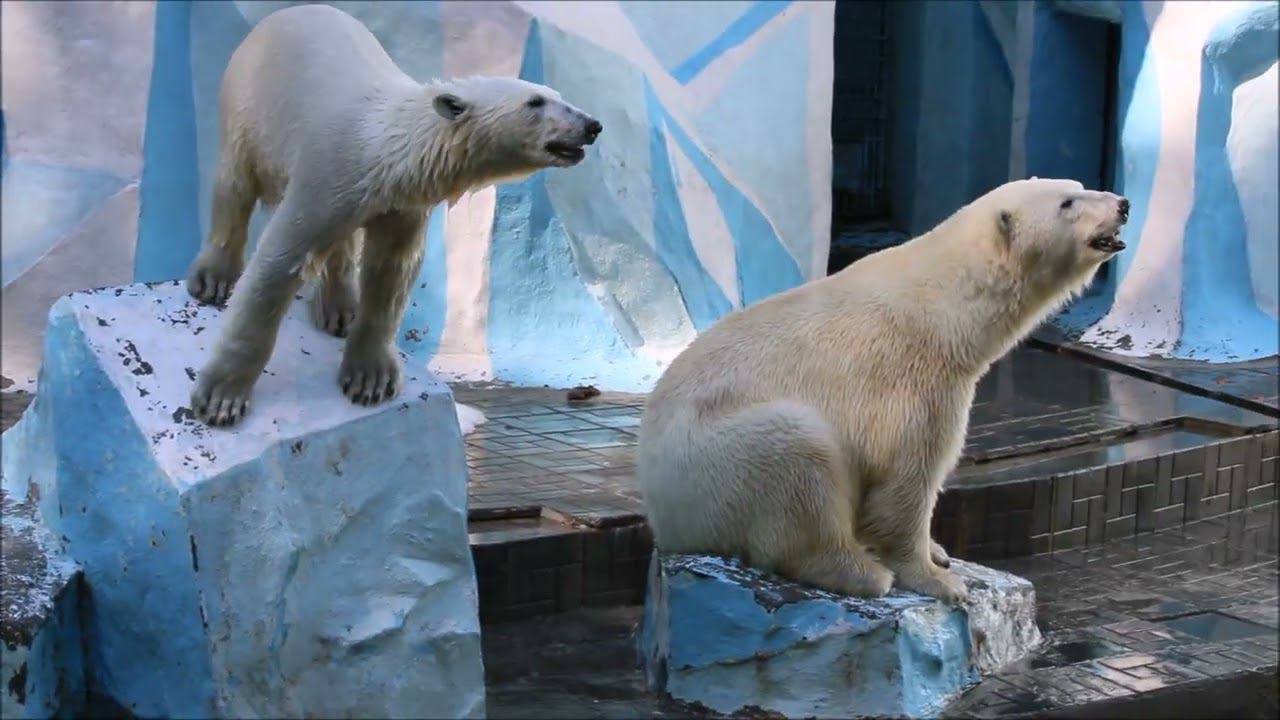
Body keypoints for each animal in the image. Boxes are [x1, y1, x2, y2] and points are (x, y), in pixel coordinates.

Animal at [186, 4, 604, 425]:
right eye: (535, 102)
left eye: (559, 95)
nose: (592, 125)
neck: (384, 150)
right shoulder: (325, 171)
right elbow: (280, 259)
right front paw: (221, 399)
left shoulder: (402, 203)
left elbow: (391, 270)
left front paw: (369, 379)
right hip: (248, 100)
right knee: (235, 182)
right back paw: (214, 278)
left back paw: (340, 310)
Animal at [640, 175, 1131, 599]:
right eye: (1067, 203)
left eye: (1080, 185)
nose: (1123, 205)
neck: (944, 310)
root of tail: (663, 518)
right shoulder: (910, 380)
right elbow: (907, 476)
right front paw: (938, 578)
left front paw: (939, 551)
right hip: (716, 455)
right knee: (797, 455)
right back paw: (863, 573)